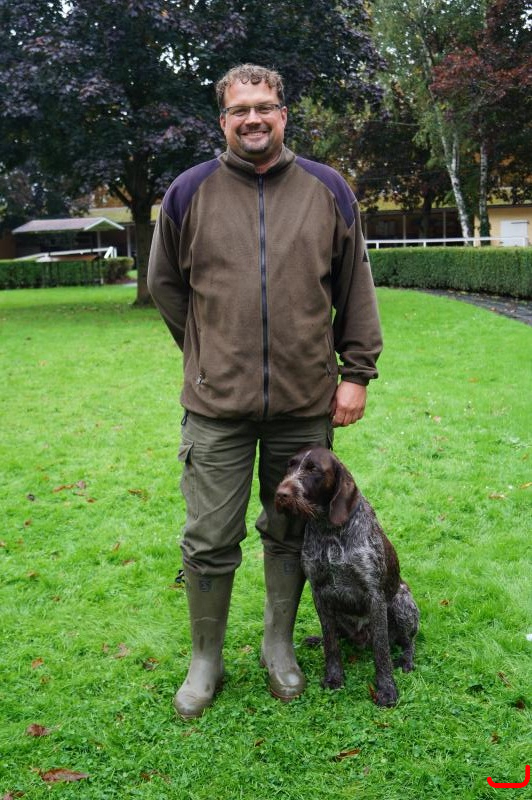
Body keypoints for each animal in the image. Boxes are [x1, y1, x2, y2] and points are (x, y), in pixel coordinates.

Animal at [275, 446, 419, 707]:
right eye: (290, 465)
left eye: (313, 469)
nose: (281, 494)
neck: (328, 530)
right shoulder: (319, 592)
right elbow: (331, 642)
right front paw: (334, 677)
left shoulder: (375, 596)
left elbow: (381, 650)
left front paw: (386, 689)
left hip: (402, 602)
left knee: (407, 641)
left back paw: (406, 659)